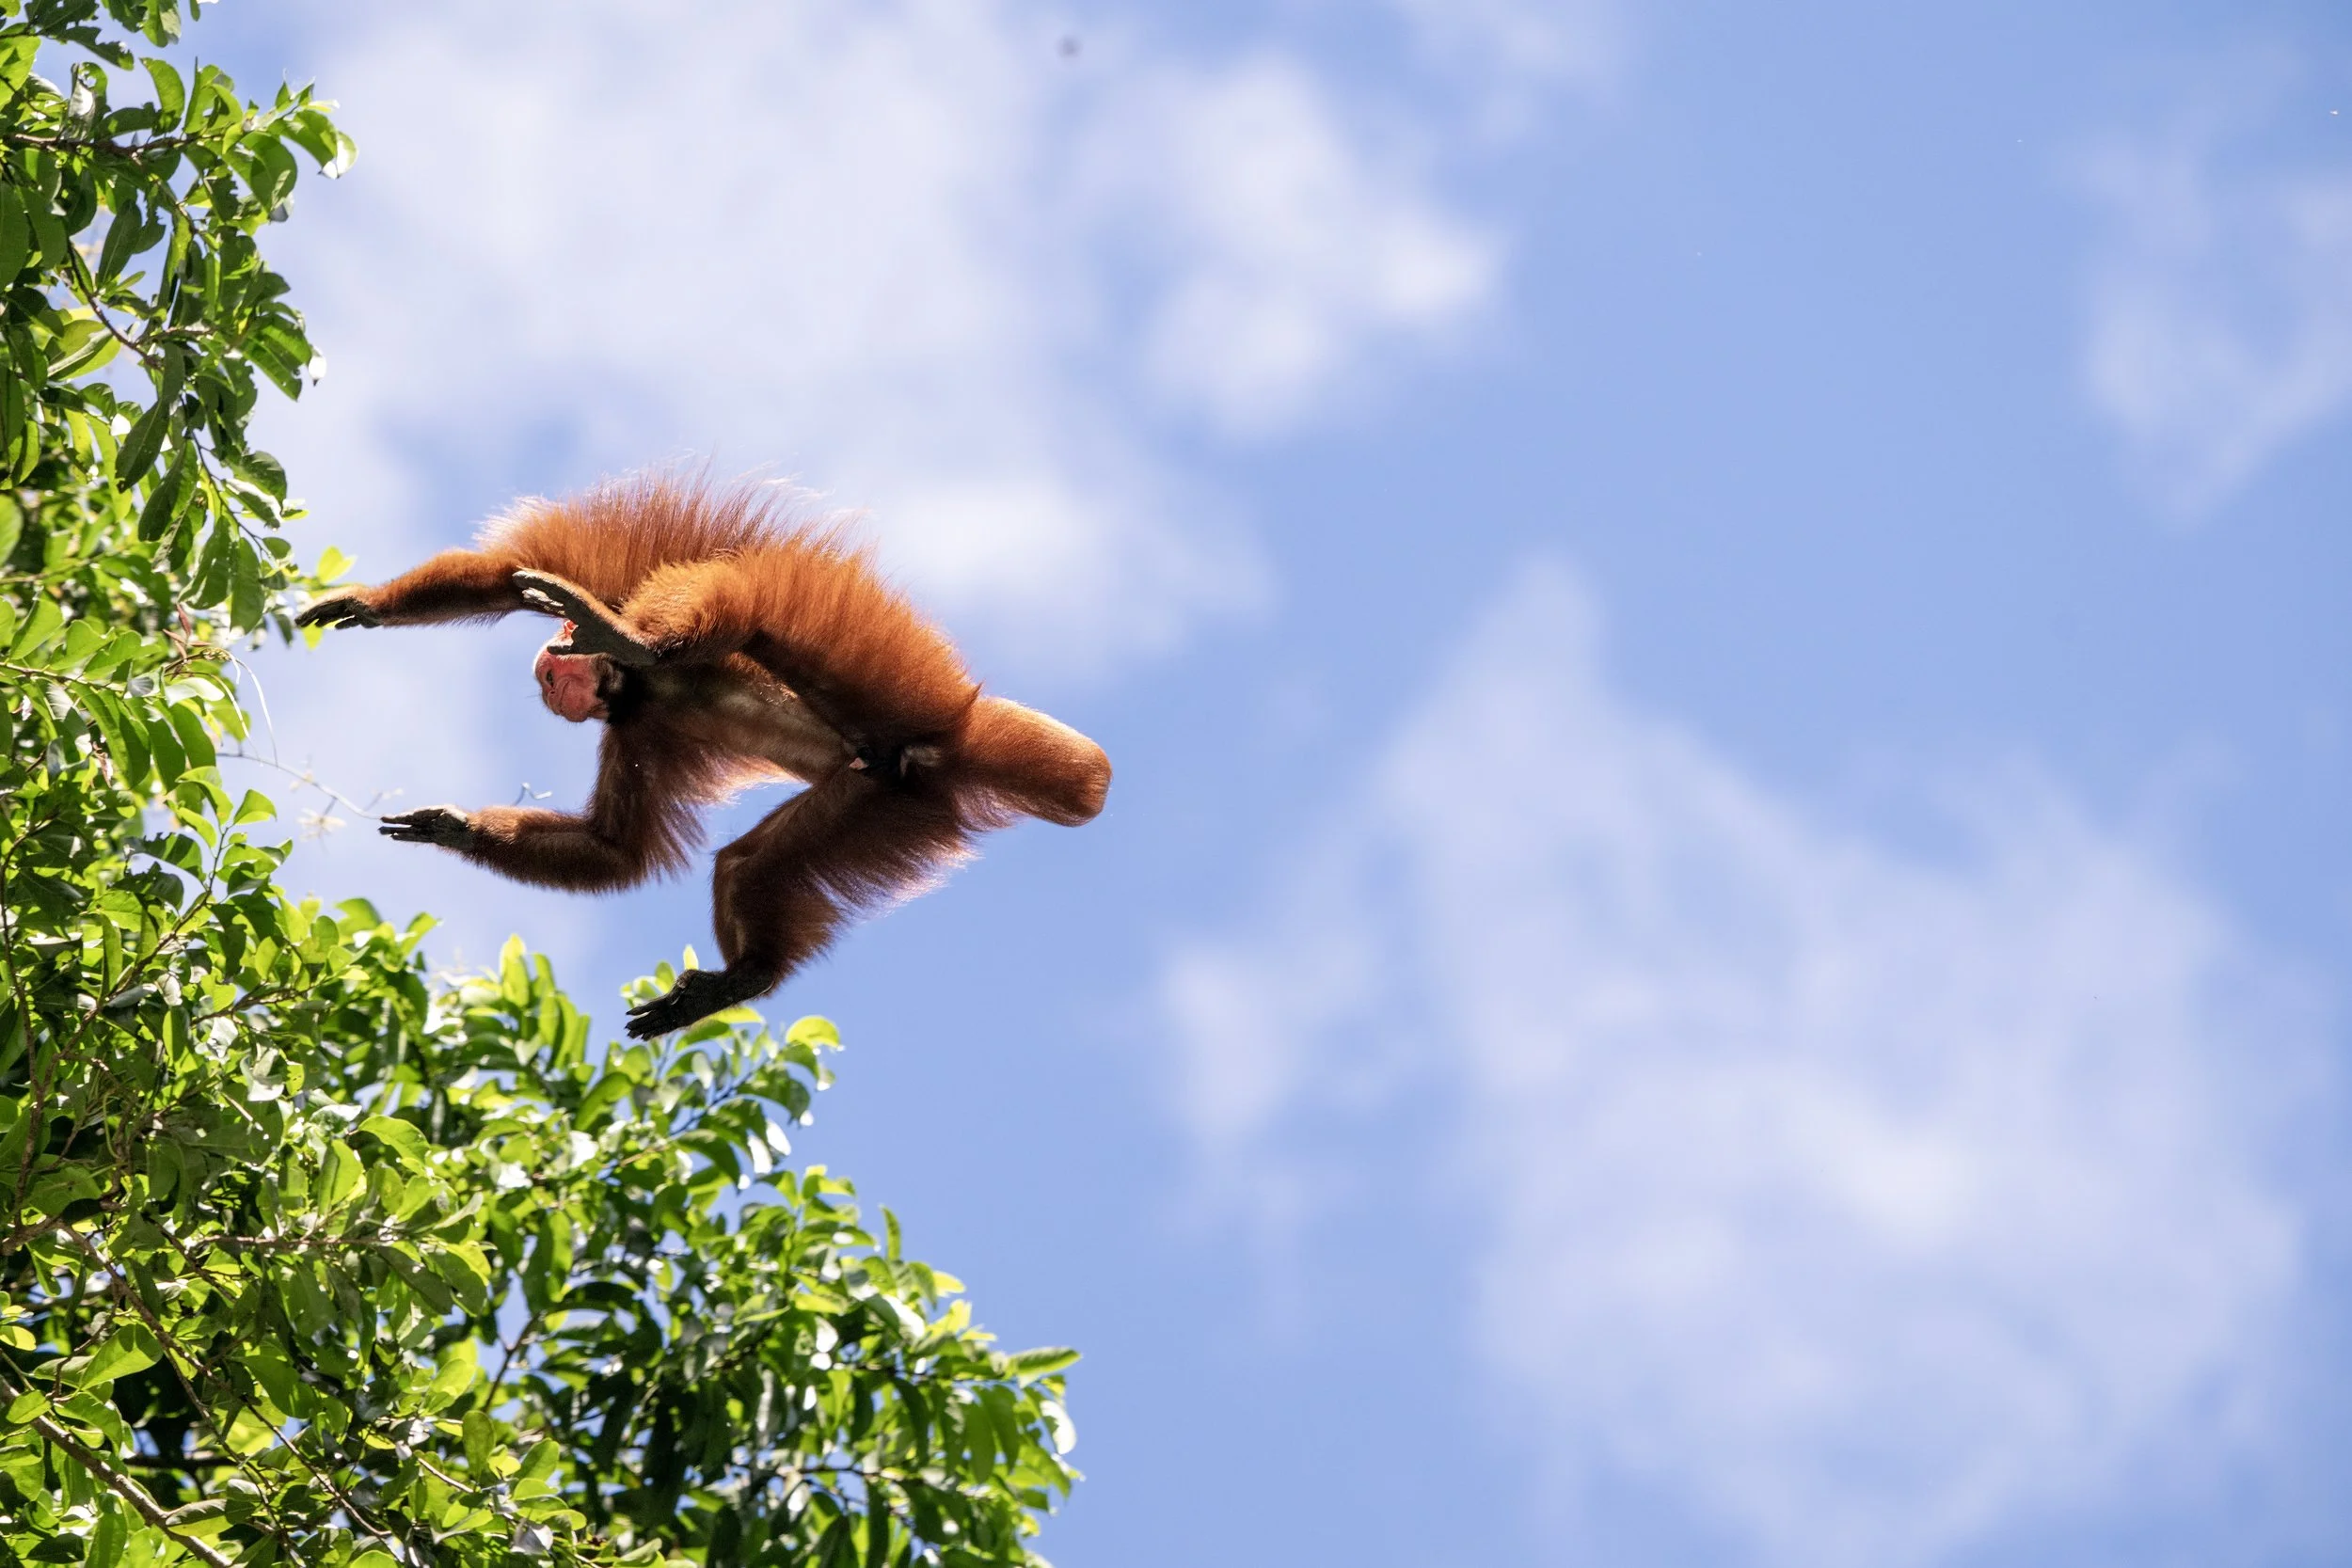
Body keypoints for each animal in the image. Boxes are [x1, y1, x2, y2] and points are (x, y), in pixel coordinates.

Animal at [295, 475, 1111, 1039]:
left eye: (556, 669)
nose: (550, 675)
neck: (641, 687)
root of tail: (943, 746)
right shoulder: (637, 731)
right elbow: (614, 849)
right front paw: (453, 825)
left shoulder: (619, 595)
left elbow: (511, 573)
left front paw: (368, 603)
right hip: (880, 798)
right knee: (746, 866)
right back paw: (745, 977)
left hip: (902, 682)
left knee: (755, 599)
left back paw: (637, 635)